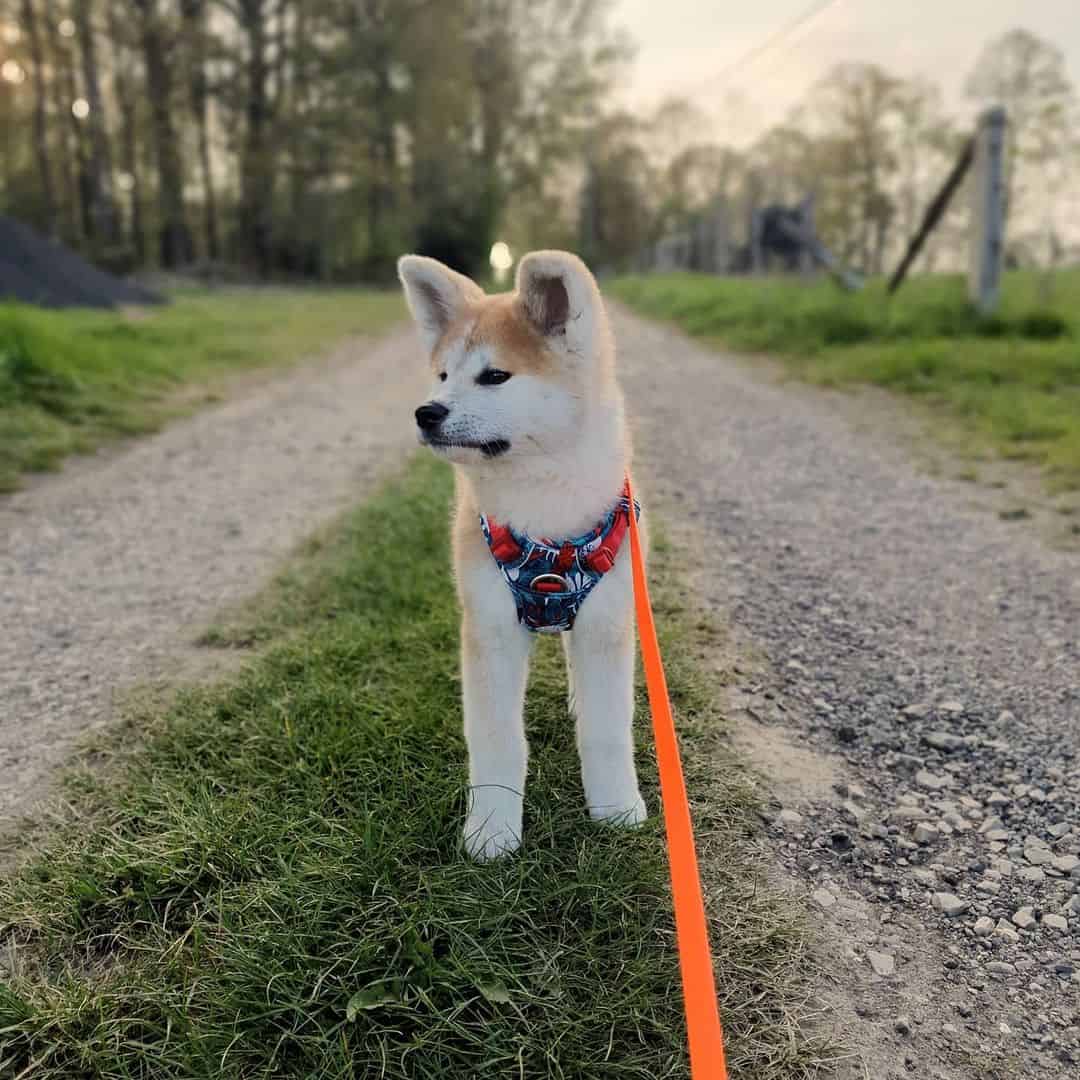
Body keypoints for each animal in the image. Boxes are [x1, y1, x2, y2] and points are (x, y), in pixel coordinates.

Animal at [399, 247, 643, 859]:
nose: (426, 412)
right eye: (442, 374)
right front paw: (491, 829)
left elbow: (606, 730)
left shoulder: (606, 622)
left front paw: (615, 810)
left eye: (494, 376)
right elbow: (496, 738)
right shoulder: (490, 628)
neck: (544, 514)